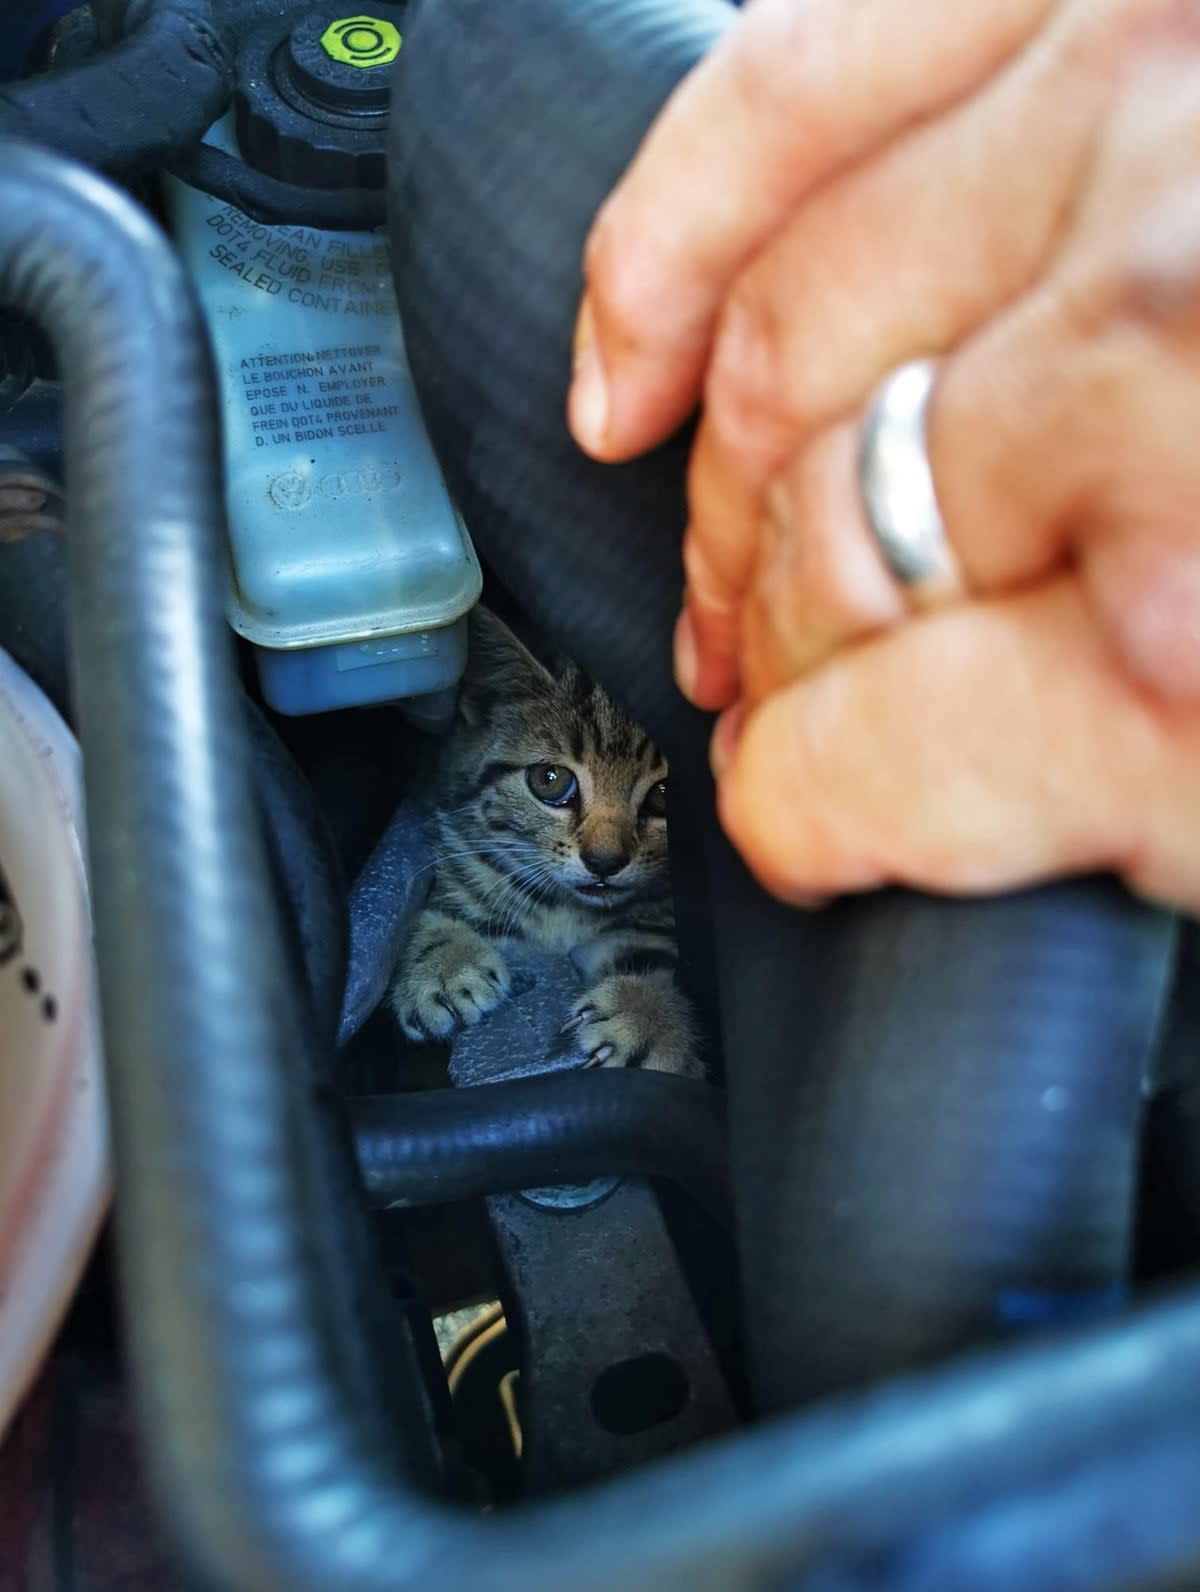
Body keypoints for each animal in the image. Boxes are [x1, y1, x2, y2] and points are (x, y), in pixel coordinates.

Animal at [388, 608, 697, 1082]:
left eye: (665, 794)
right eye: (549, 780)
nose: (604, 861)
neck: (565, 909)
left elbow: (659, 963)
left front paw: (650, 1018)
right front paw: (441, 962)